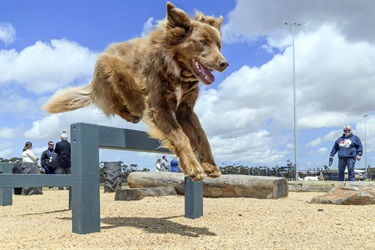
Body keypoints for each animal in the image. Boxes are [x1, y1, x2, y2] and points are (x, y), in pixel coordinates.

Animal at [42, 2, 228, 182]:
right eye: (202, 42)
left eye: (219, 46)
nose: (225, 64)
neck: (176, 70)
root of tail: (93, 84)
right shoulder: (159, 107)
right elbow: (180, 136)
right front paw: (193, 166)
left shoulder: (185, 110)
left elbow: (202, 136)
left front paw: (210, 165)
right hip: (117, 74)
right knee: (118, 104)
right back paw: (132, 114)